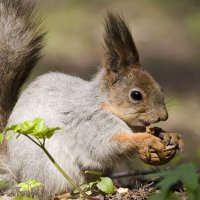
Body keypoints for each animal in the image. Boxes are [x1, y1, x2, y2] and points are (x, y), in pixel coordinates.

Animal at [0, 0, 184, 198]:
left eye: (160, 87)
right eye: (136, 95)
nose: (163, 116)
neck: (104, 104)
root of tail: (15, 174)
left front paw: (169, 135)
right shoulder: (90, 123)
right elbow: (107, 146)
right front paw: (147, 140)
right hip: (47, 170)